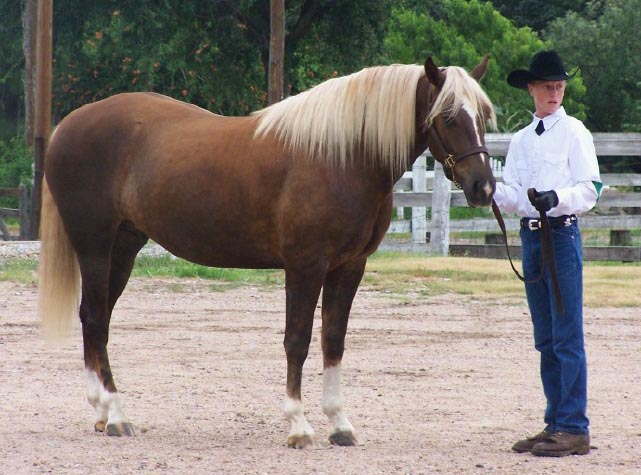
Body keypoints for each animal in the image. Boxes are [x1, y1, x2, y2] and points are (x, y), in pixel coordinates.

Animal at [40, 56, 498, 450]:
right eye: (449, 116)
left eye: (483, 115)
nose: (484, 187)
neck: (342, 157)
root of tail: (67, 126)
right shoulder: (305, 266)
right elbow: (297, 340)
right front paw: (298, 425)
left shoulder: (349, 267)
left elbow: (333, 340)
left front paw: (339, 423)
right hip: (95, 246)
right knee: (96, 319)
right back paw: (116, 414)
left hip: (124, 247)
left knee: (95, 319)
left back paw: (102, 413)